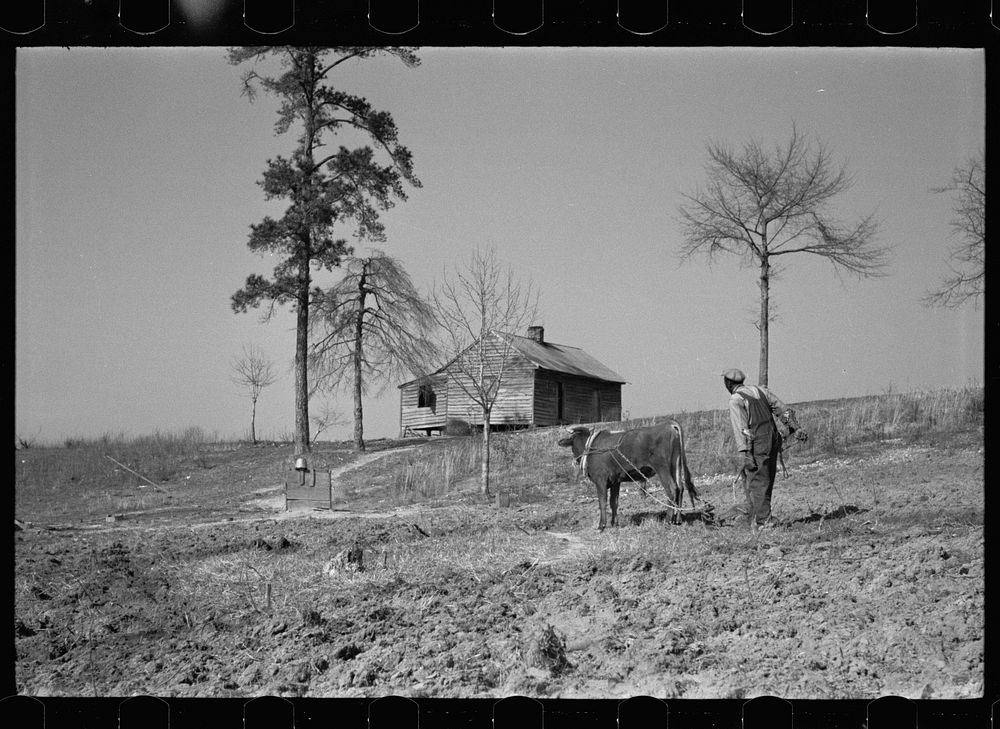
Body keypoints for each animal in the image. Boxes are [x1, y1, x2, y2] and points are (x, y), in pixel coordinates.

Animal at [560, 420, 700, 528]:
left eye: (572, 440)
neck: (590, 447)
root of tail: (668, 424)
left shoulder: (600, 479)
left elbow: (602, 502)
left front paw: (602, 525)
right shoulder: (615, 481)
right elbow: (614, 502)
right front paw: (614, 523)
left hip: (662, 468)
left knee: (672, 489)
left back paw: (668, 520)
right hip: (675, 465)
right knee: (680, 488)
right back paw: (678, 519)